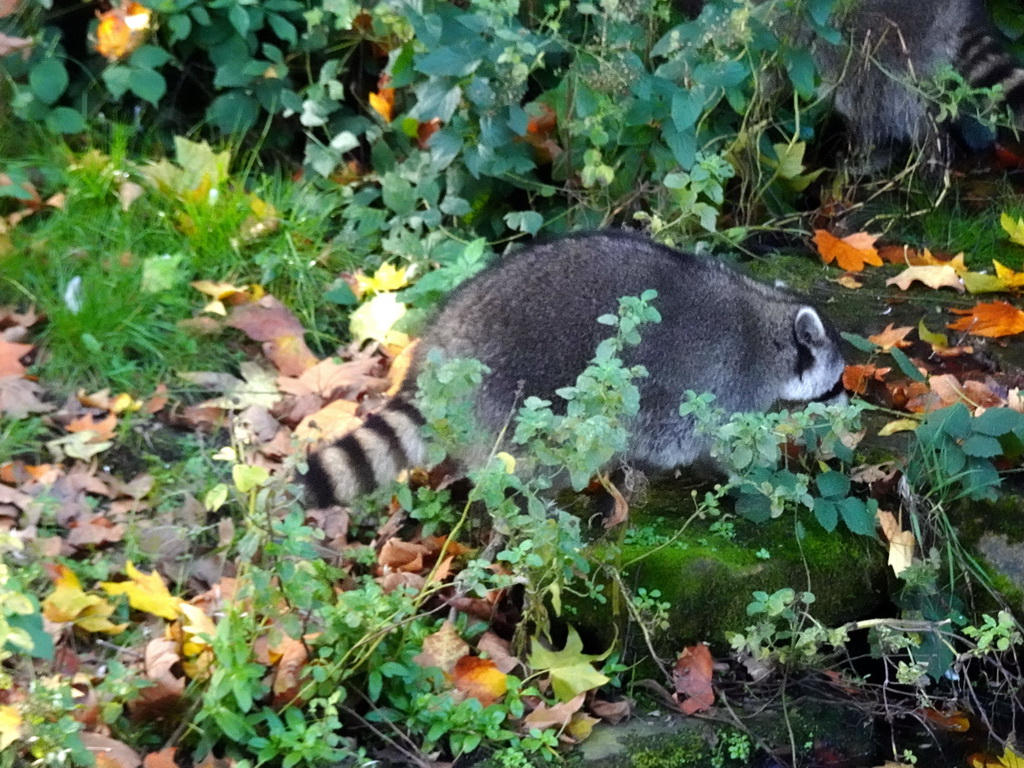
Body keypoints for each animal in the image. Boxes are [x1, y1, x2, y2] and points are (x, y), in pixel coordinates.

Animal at [303, 234, 847, 512]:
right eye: (837, 384)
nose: (850, 405)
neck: (767, 315)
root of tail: (442, 347)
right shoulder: (716, 383)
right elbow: (698, 442)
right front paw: (750, 476)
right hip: (523, 396)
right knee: (532, 459)